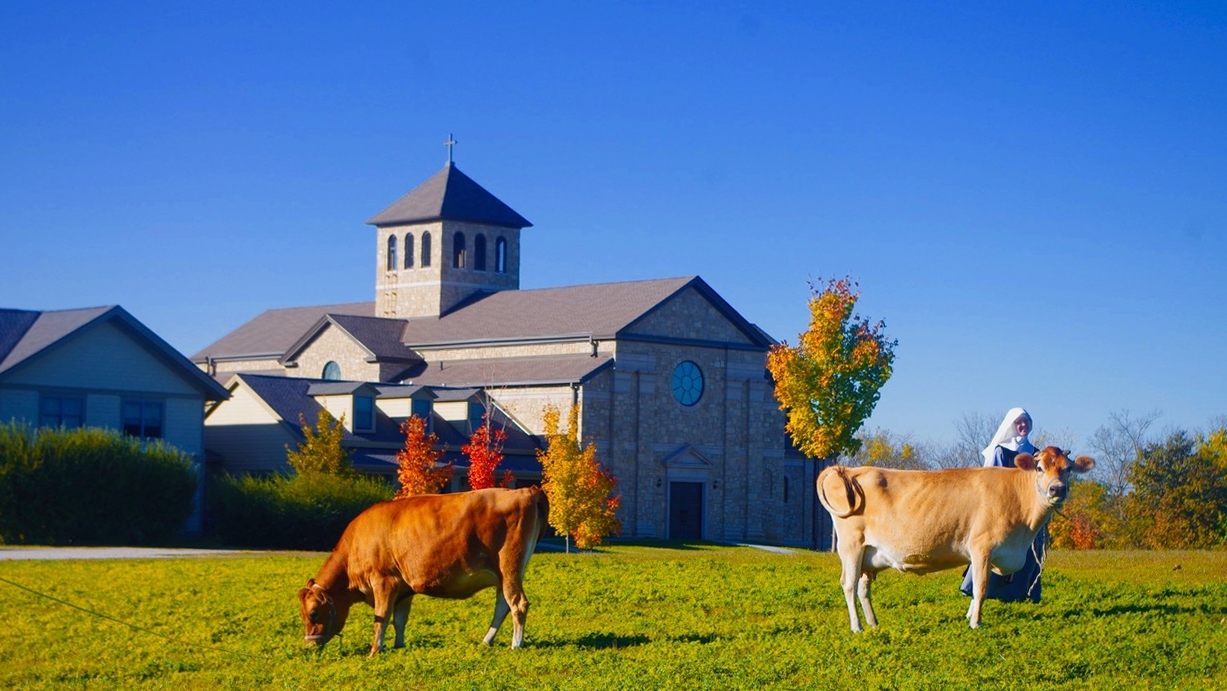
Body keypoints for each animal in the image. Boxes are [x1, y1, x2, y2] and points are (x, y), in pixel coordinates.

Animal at [296, 483, 547, 657]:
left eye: (313, 613)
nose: (309, 646)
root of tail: (526, 490)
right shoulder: (403, 588)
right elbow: (399, 619)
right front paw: (398, 646)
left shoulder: (384, 581)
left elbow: (381, 618)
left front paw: (375, 651)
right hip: (505, 574)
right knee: (503, 605)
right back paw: (486, 641)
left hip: (509, 566)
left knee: (517, 604)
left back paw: (516, 645)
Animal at [814, 449, 1094, 633]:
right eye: (1039, 468)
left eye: (1068, 469)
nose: (1057, 489)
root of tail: (850, 469)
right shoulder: (982, 546)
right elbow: (980, 587)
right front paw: (976, 623)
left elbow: (978, 588)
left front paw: (970, 616)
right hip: (851, 545)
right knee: (849, 585)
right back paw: (857, 627)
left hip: (869, 555)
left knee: (863, 588)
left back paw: (873, 623)